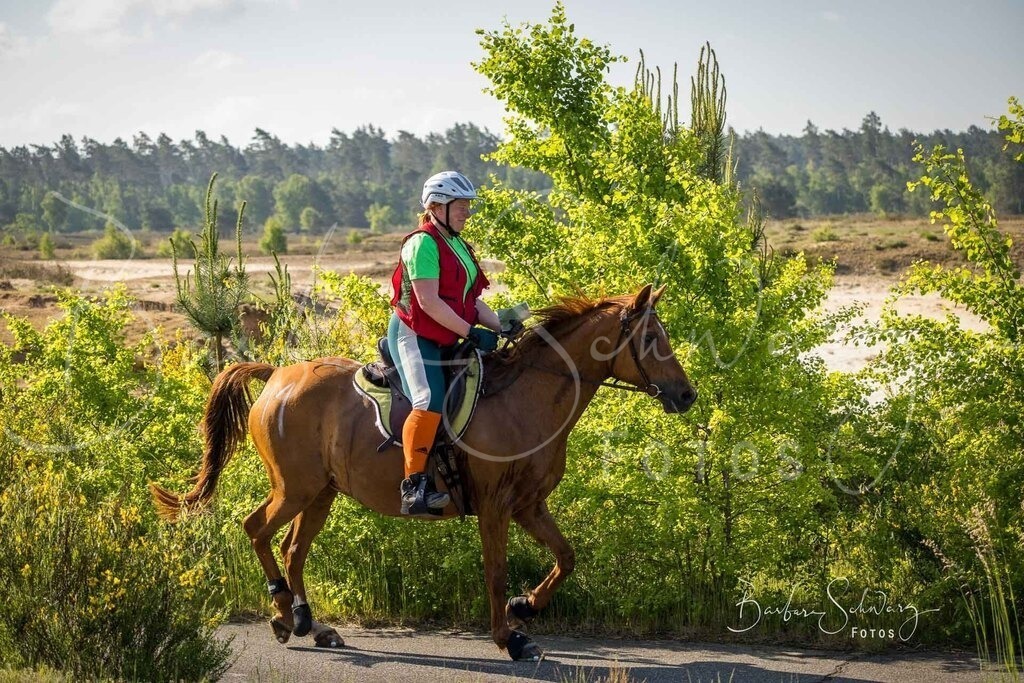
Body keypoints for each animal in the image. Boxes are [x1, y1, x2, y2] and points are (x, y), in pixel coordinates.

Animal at [150, 283, 697, 661]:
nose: (687, 394)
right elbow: (496, 571)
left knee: (291, 548)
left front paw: (525, 606)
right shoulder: (495, 507)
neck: (529, 397)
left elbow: (566, 557)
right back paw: (284, 613)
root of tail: (277, 374)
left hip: (321, 492)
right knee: (257, 529)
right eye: (652, 337)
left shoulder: (527, 504)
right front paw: (509, 638)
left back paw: (311, 623)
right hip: (295, 487)